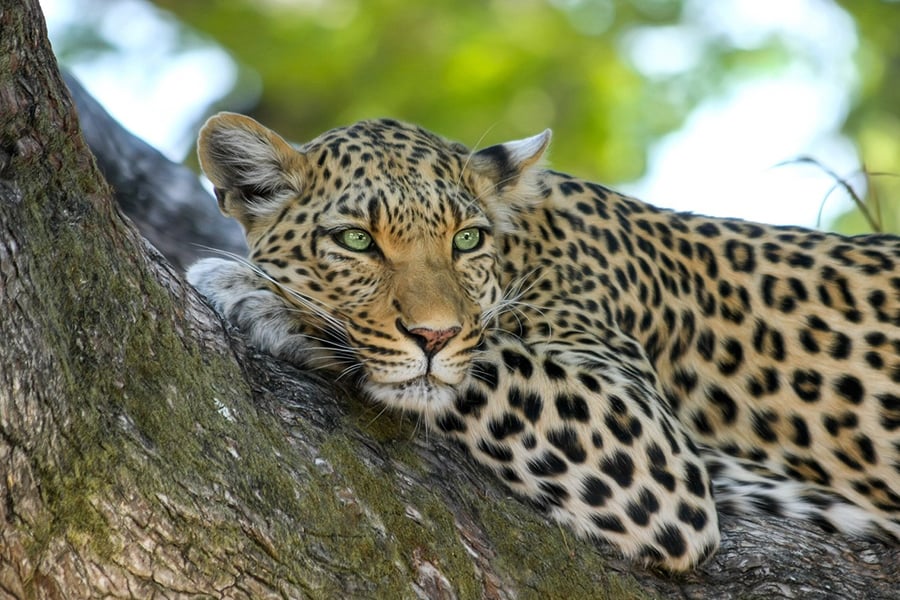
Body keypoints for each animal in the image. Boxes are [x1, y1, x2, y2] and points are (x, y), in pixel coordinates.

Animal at [186, 112, 900, 572]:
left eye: (466, 239)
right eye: (356, 240)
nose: (433, 334)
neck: (526, 248)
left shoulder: (651, 445)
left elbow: (485, 361)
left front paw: (257, 292)